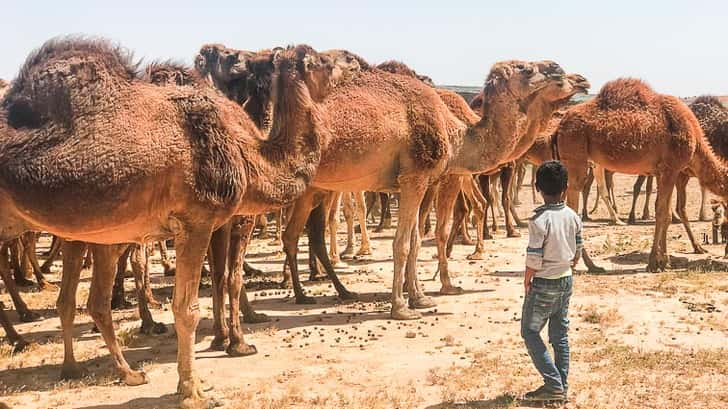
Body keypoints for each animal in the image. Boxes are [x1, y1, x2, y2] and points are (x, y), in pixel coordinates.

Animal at [0, 37, 332, 404]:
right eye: (323, 63)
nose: (344, 68)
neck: (247, 155)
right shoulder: (197, 221)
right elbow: (189, 307)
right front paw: (194, 389)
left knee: (86, 301)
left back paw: (103, 371)